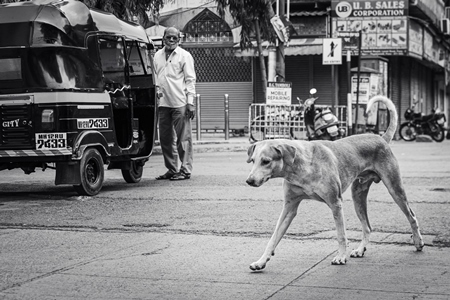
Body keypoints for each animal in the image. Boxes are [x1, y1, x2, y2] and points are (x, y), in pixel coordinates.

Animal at [246, 95, 426, 270]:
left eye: (266, 161)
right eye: (253, 160)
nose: (249, 180)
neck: (302, 166)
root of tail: (381, 138)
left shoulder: (335, 203)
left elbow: (341, 235)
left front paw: (340, 257)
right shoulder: (289, 207)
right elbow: (274, 237)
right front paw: (261, 261)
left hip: (395, 188)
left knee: (411, 216)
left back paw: (418, 241)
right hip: (358, 195)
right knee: (367, 226)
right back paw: (361, 249)